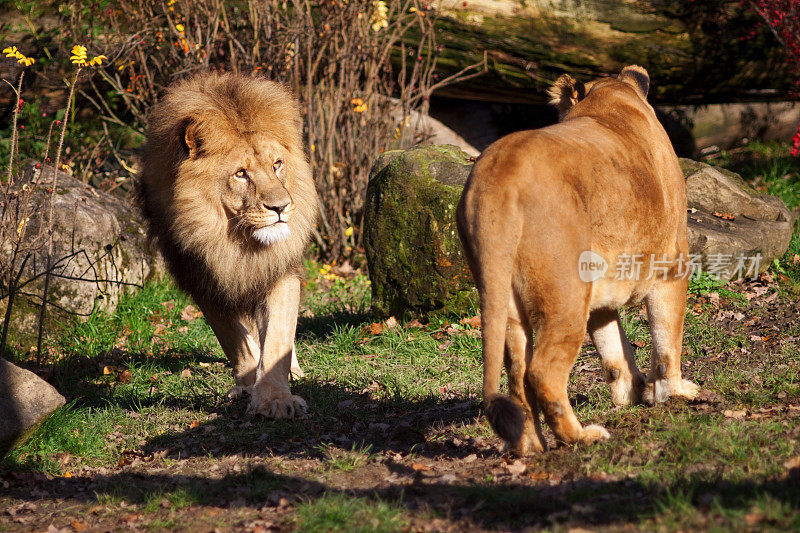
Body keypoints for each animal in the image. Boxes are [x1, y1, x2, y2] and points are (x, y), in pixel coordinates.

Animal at [138, 71, 316, 420]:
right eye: (241, 174)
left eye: (277, 164)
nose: (281, 207)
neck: (234, 243)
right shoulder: (201, 277)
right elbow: (234, 337)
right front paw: (248, 384)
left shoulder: (278, 270)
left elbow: (278, 335)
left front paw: (276, 399)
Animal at [456, 62, 700, 454]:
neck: (610, 98)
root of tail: (498, 177)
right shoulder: (671, 267)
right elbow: (667, 343)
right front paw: (674, 393)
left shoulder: (602, 291)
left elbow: (614, 347)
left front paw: (631, 392)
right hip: (565, 296)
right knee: (543, 372)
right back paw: (582, 436)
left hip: (504, 297)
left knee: (518, 375)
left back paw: (531, 445)